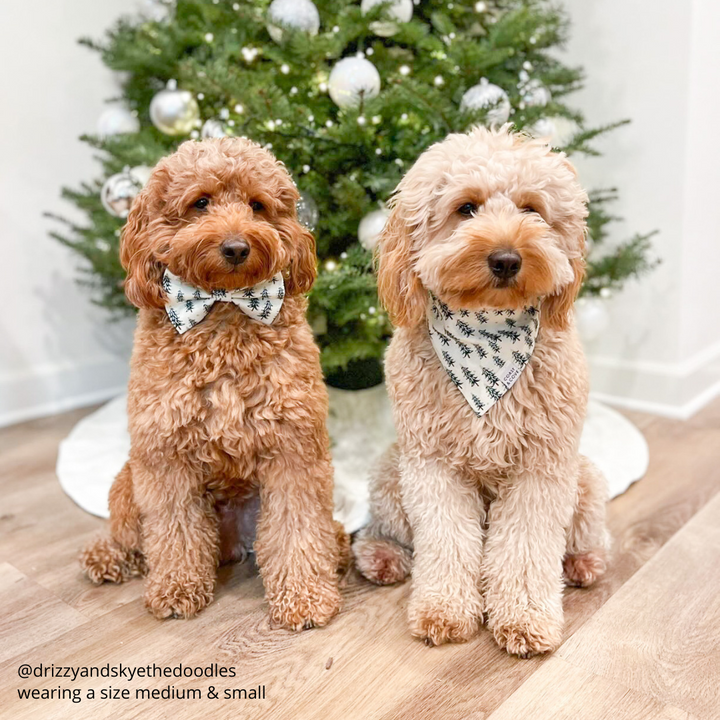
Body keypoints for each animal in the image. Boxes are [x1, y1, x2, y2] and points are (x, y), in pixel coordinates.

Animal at [81, 136, 346, 632]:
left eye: (257, 206)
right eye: (200, 203)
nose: (237, 247)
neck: (223, 308)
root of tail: (231, 545)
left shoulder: (295, 451)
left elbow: (298, 528)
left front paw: (304, 598)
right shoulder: (165, 454)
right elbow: (175, 530)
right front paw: (177, 589)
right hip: (128, 480)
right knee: (131, 536)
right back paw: (108, 557)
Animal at [352, 126, 612, 656]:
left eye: (532, 209)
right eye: (466, 208)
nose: (506, 259)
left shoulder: (542, 467)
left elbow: (527, 549)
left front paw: (525, 620)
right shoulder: (433, 465)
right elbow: (447, 543)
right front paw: (444, 611)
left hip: (586, 480)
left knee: (582, 535)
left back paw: (583, 563)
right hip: (391, 471)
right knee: (391, 530)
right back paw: (380, 555)